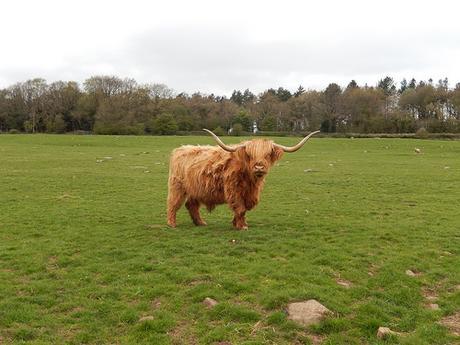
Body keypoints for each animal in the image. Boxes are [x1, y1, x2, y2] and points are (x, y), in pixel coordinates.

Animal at [166, 128, 320, 228]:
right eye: (250, 155)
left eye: (267, 154)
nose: (259, 167)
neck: (250, 180)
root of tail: (181, 149)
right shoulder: (234, 190)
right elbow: (240, 208)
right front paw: (242, 226)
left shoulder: (250, 194)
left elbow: (244, 208)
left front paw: (239, 223)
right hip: (177, 186)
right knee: (173, 203)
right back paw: (172, 224)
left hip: (196, 189)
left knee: (191, 205)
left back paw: (201, 223)